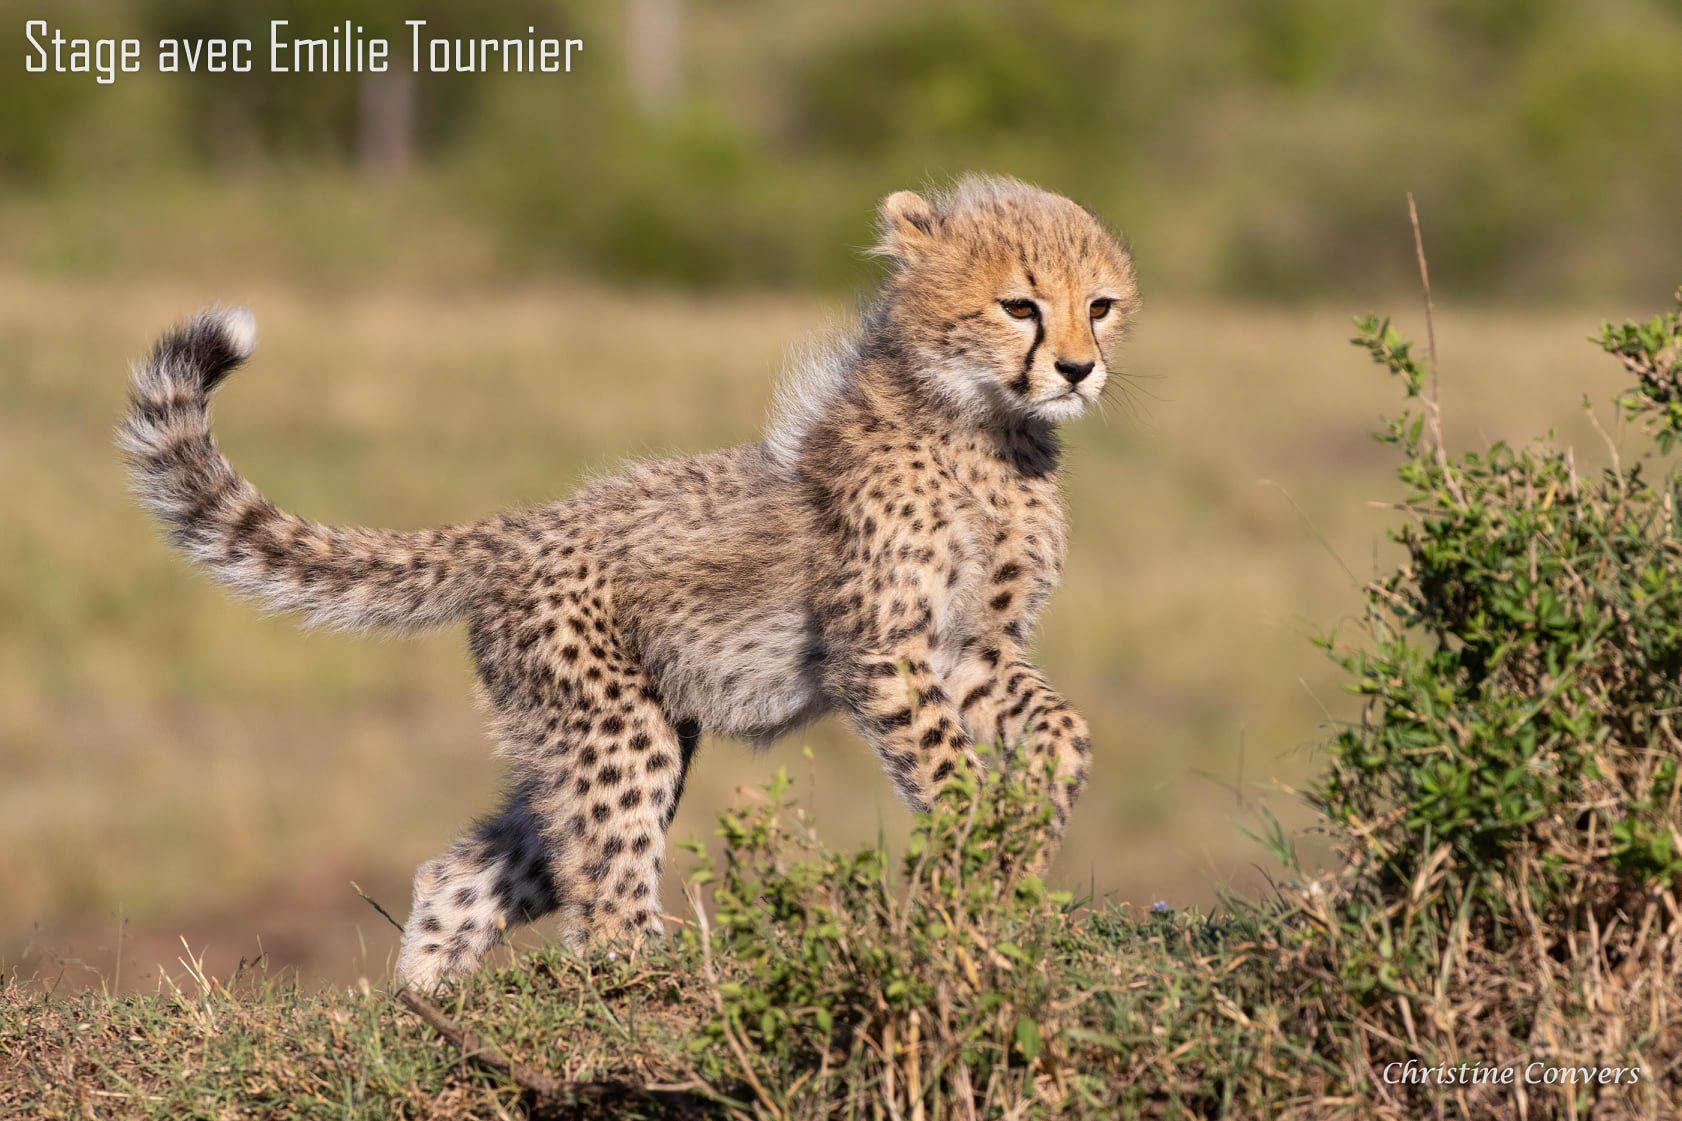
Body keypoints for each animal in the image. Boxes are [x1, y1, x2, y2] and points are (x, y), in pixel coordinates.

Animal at [118, 173, 1141, 991]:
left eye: (1099, 305)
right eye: (1019, 306)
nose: (1077, 370)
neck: (986, 429)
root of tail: (521, 525)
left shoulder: (973, 646)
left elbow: (1066, 728)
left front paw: (1032, 827)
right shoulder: (883, 649)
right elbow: (947, 767)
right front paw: (983, 859)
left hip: (602, 730)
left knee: (470, 873)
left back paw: (425, 1006)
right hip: (617, 724)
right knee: (604, 901)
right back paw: (666, 982)